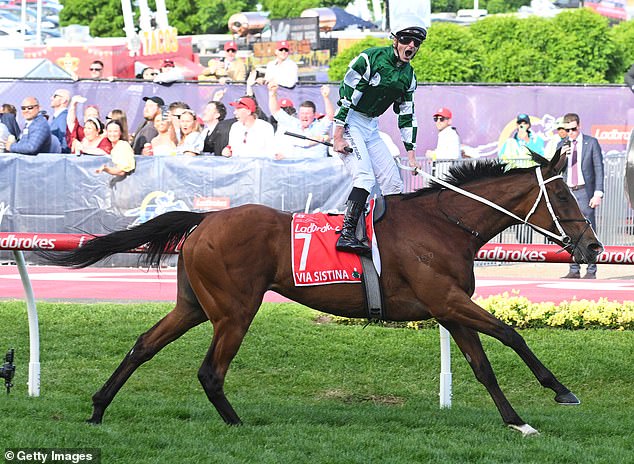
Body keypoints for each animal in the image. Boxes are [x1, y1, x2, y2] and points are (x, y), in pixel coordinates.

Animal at [43, 150, 596, 436]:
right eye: (563, 195)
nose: (592, 246)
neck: (444, 225)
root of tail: (204, 220)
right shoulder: (448, 301)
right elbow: (512, 335)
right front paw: (560, 390)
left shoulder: (450, 309)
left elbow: (483, 366)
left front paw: (517, 422)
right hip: (234, 310)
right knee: (210, 371)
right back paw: (239, 425)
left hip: (194, 305)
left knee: (143, 344)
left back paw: (98, 408)